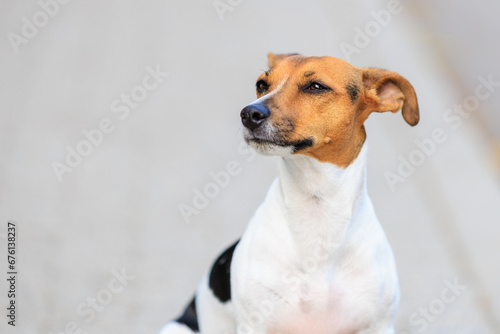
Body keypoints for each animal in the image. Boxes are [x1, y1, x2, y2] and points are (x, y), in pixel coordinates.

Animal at [160, 53, 418, 332]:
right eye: (262, 84)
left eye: (315, 86)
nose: (248, 113)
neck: (317, 209)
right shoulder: (254, 325)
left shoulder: (379, 325)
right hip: (177, 327)